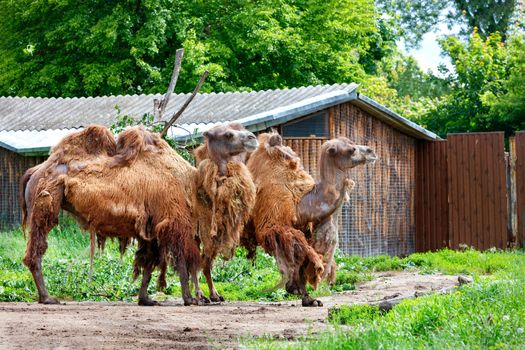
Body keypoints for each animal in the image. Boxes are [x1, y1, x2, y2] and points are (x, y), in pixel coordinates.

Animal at [19, 123, 256, 306]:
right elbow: (183, 261)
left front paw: (146, 299)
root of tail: (34, 171)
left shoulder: (152, 227)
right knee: (36, 250)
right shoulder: (174, 221)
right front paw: (192, 299)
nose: (253, 138)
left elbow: (148, 262)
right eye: (228, 134)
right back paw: (48, 298)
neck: (192, 186)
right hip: (45, 200)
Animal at [247, 132, 376, 306]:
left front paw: (309, 299)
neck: (300, 201)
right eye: (352, 149)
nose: (371, 151)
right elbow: (294, 258)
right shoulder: (276, 226)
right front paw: (298, 291)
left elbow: (302, 259)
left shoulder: (302, 227)